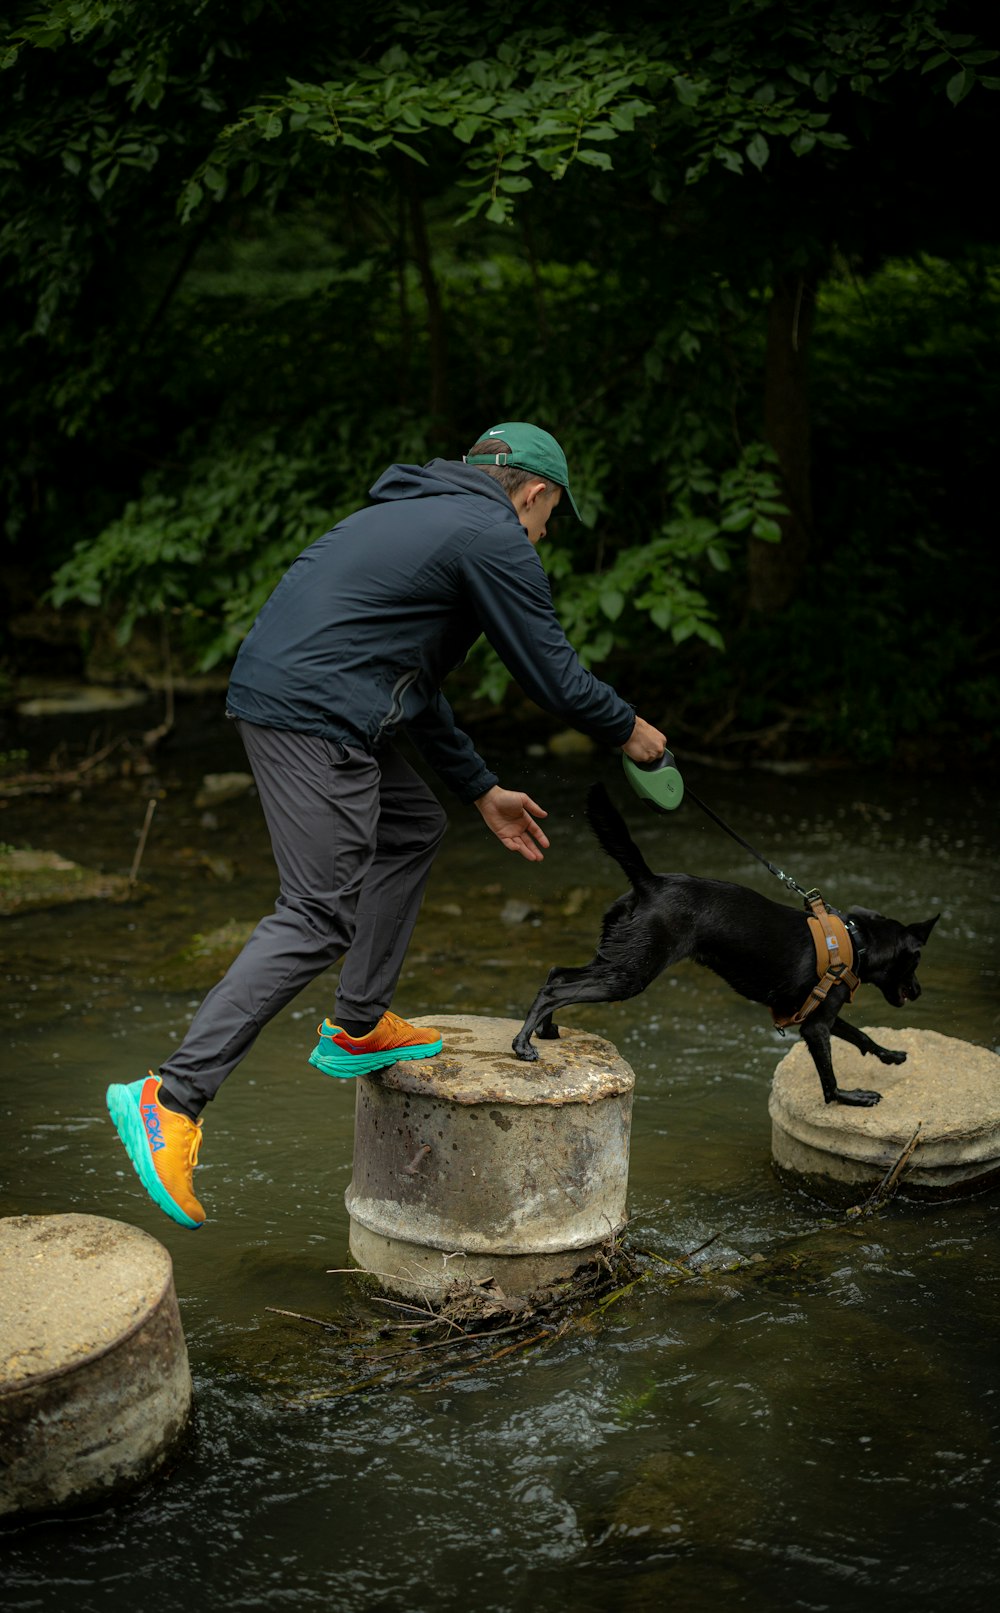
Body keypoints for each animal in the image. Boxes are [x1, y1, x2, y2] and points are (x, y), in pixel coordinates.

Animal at [512, 783, 941, 1109]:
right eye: (916, 960)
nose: (920, 991)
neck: (855, 941)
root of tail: (650, 882)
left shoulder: (815, 1011)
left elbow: (860, 1035)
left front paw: (890, 1054)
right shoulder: (815, 1026)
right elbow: (830, 1081)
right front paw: (852, 1096)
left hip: (619, 957)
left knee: (557, 974)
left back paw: (545, 1031)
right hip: (630, 973)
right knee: (556, 989)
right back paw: (523, 1045)